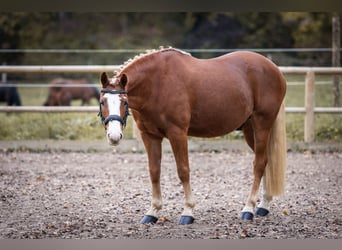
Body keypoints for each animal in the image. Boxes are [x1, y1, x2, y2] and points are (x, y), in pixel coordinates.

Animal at [99, 47, 288, 225]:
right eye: (102, 102)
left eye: (124, 102)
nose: (114, 135)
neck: (157, 83)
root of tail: (274, 69)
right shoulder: (150, 136)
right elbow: (154, 171)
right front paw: (152, 212)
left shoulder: (178, 133)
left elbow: (183, 170)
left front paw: (188, 212)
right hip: (250, 130)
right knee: (265, 162)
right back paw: (263, 206)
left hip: (262, 125)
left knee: (259, 164)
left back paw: (248, 208)